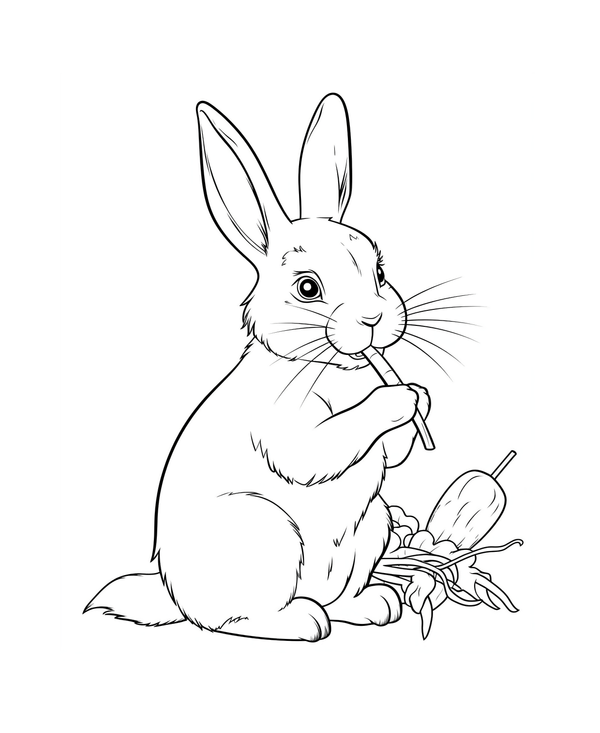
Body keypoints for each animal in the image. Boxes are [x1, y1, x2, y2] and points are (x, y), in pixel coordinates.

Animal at [84, 93, 431, 641]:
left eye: (379, 272)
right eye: (308, 287)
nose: (374, 320)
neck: (329, 365)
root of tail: (174, 596)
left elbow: (393, 452)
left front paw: (421, 398)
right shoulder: (287, 427)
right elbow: (316, 450)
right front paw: (399, 397)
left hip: (372, 525)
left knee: (336, 595)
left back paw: (373, 605)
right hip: (262, 531)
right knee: (236, 620)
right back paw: (306, 621)